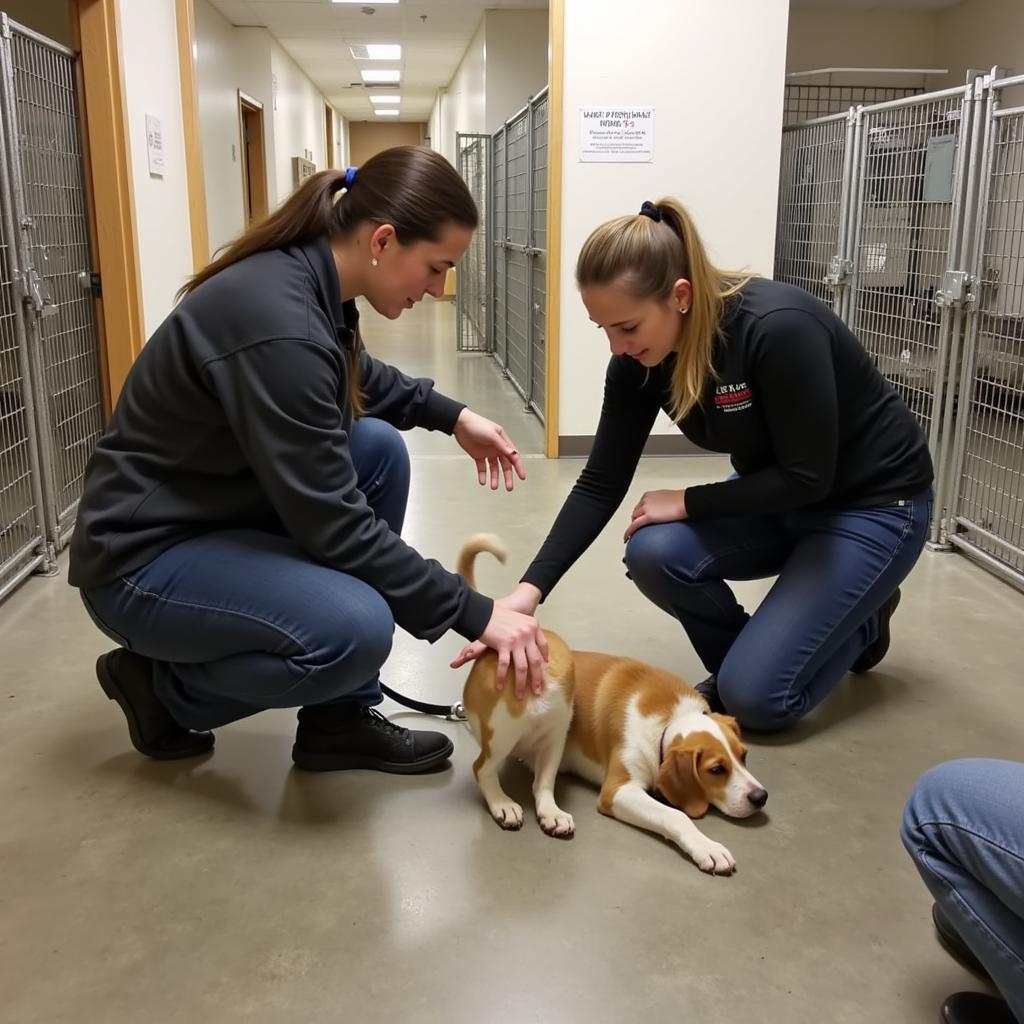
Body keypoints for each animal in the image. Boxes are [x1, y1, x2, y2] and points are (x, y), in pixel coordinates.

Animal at [458, 532, 770, 876]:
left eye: (744, 755)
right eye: (716, 770)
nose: (760, 797)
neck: (670, 718)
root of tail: (491, 648)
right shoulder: (618, 790)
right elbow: (676, 815)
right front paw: (707, 847)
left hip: (556, 731)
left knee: (542, 783)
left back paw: (552, 812)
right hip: (508, 727)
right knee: (483, 768)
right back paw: (502, 803)